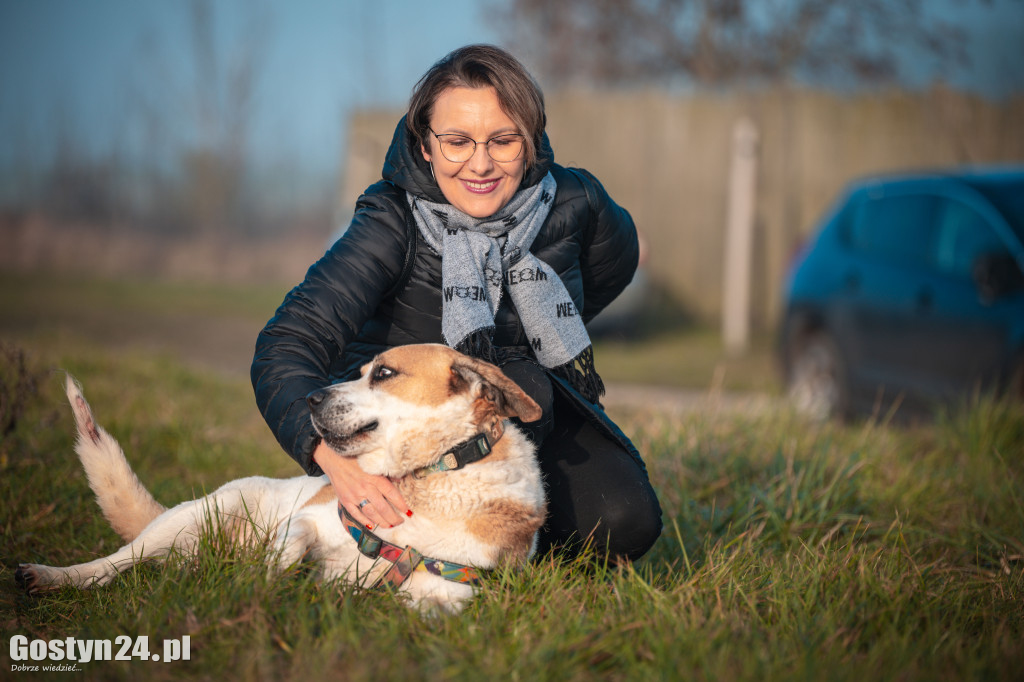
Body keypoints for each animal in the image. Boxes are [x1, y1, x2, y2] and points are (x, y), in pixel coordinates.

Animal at [16, 342, 548, 614]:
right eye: (362, 371)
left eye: (384, 373)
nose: (311, 398)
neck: (432, 473)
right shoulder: (313, 517)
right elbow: (291, 541)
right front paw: (267, 573)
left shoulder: (447, 595)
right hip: (201, 513)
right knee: (114, 562)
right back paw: (52, 576)